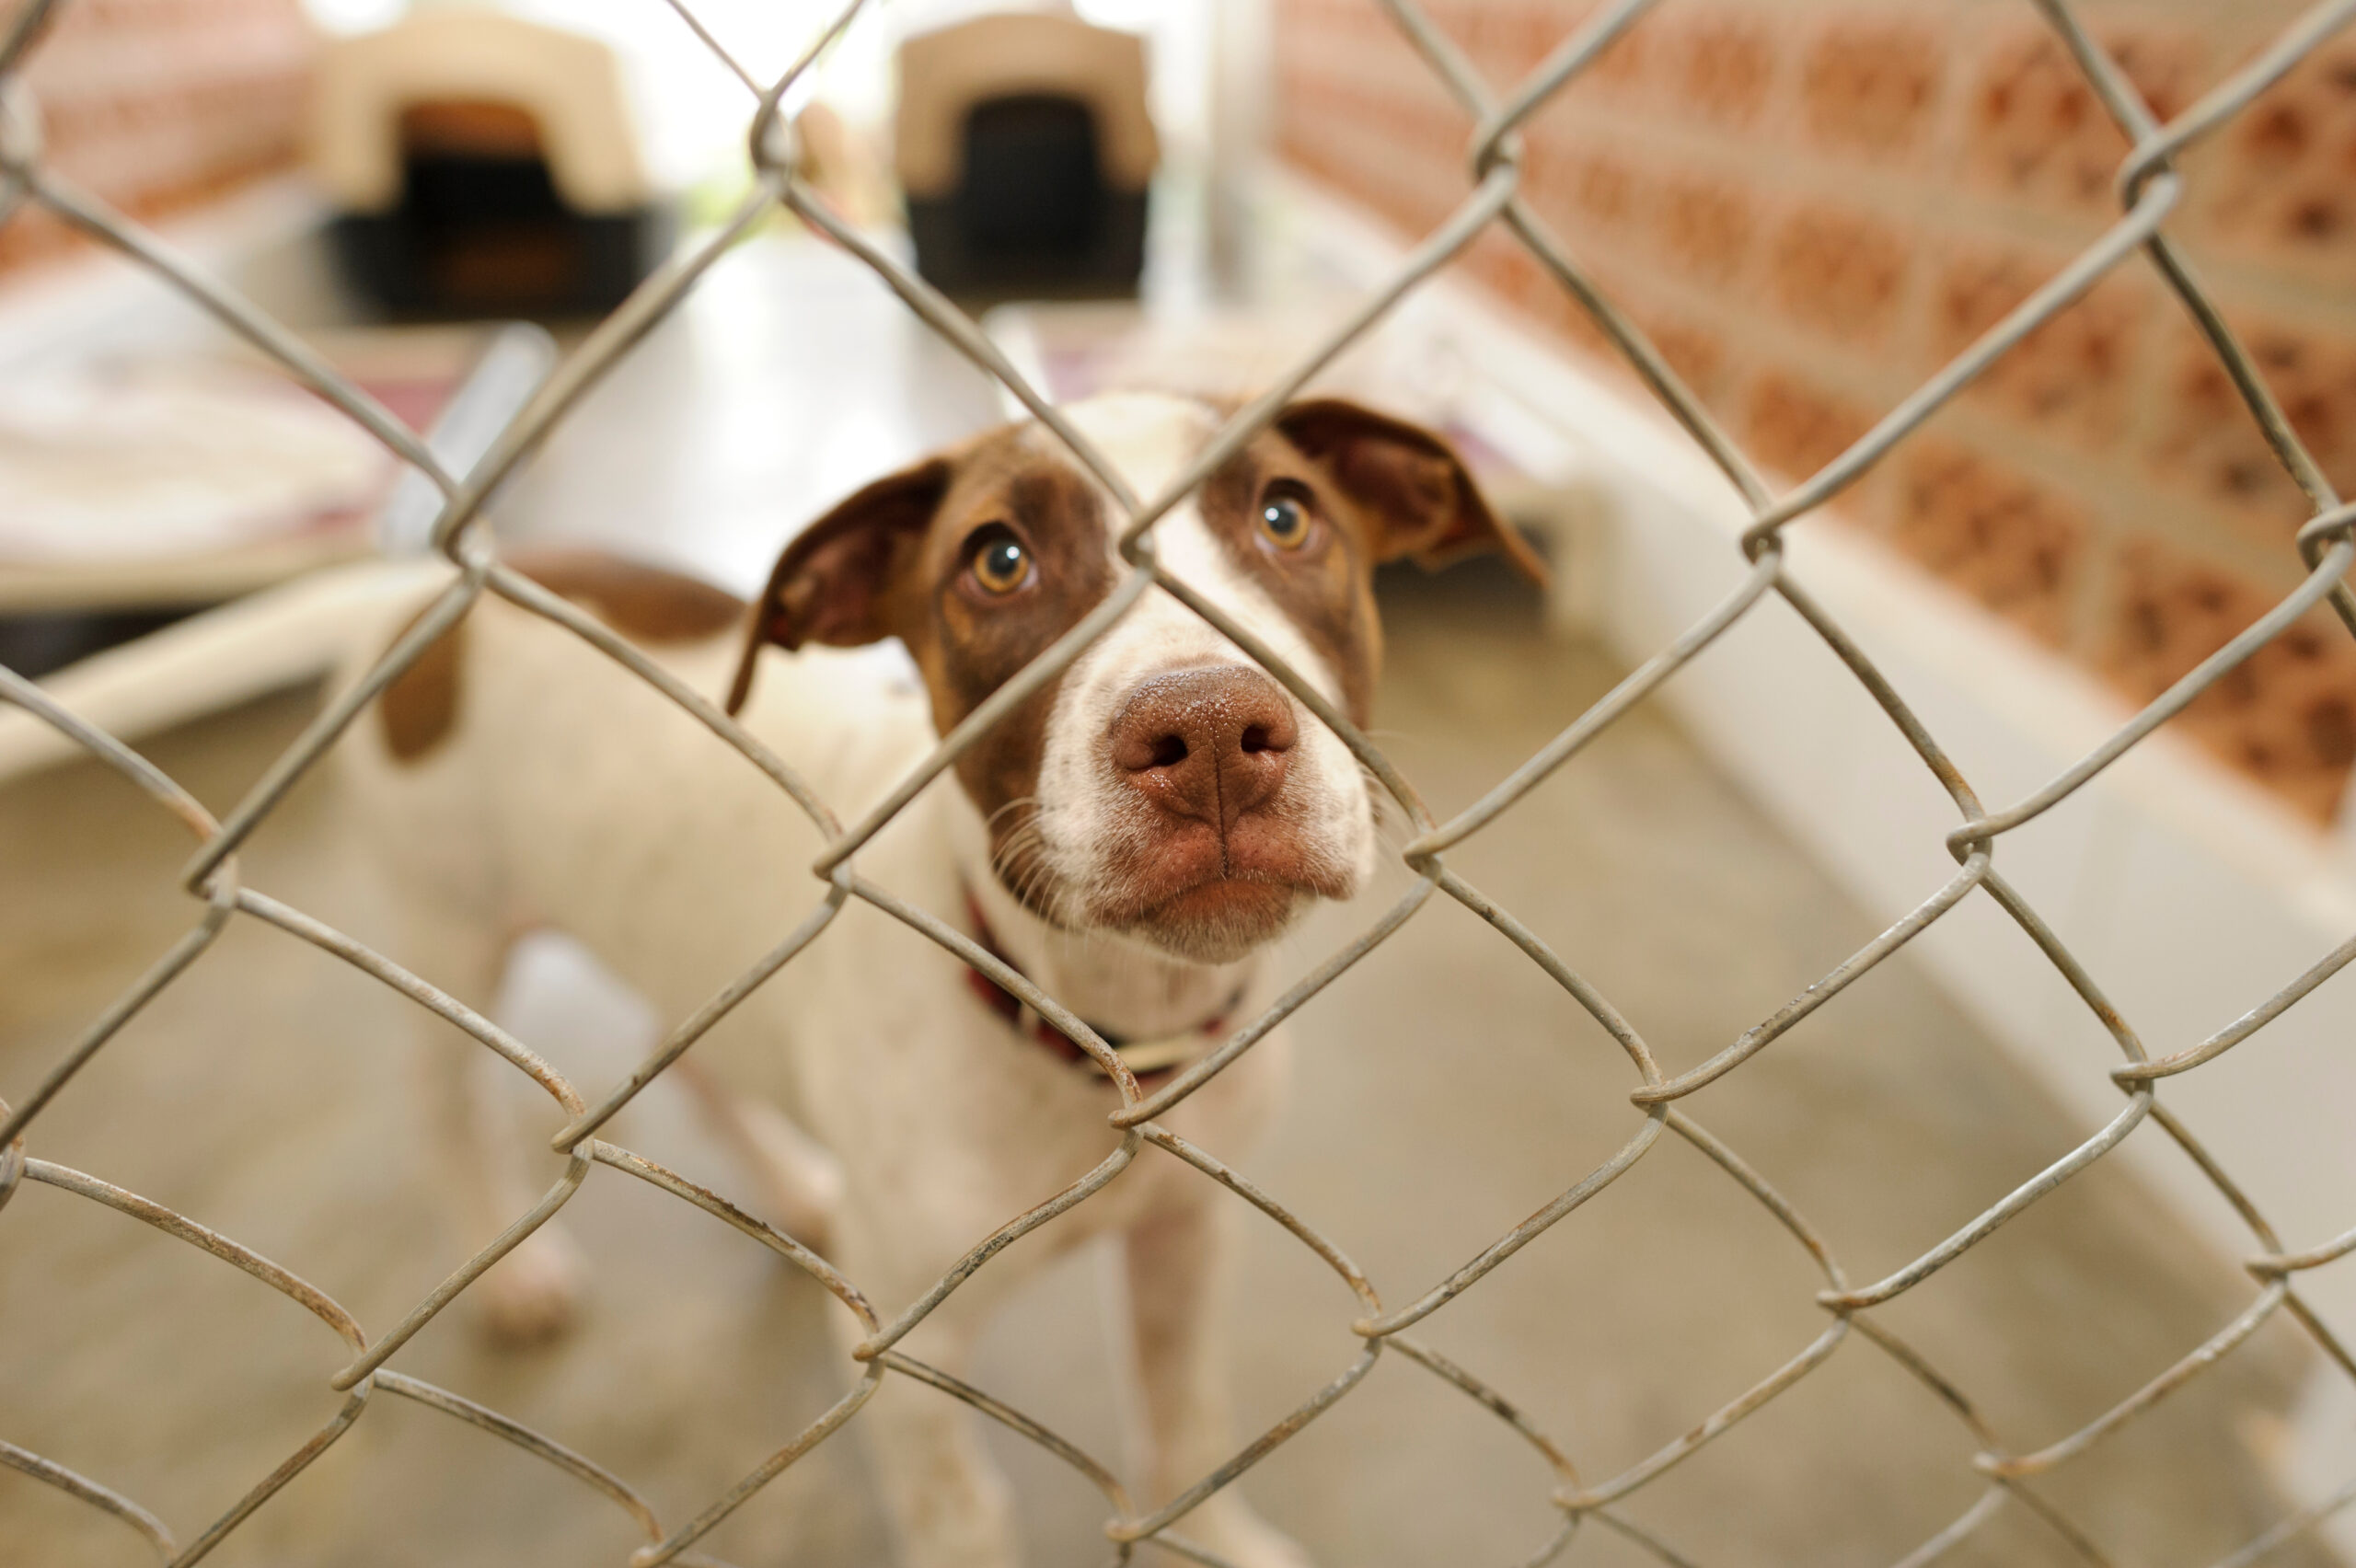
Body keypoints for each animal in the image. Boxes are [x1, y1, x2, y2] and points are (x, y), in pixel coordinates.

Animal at [341, 384, 1536, 1553]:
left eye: (1287, 516)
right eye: (997, 559)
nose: (1204, 732)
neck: (1101, 1035)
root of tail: (438, 594)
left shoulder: (1186, 1239)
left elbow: (1190, 1420)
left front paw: (1223, 1542)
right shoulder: (905, 1365)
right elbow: (966, 1518)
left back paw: (794, 1188)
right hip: (446, 932)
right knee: (441, 1107)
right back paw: (517, 1275)